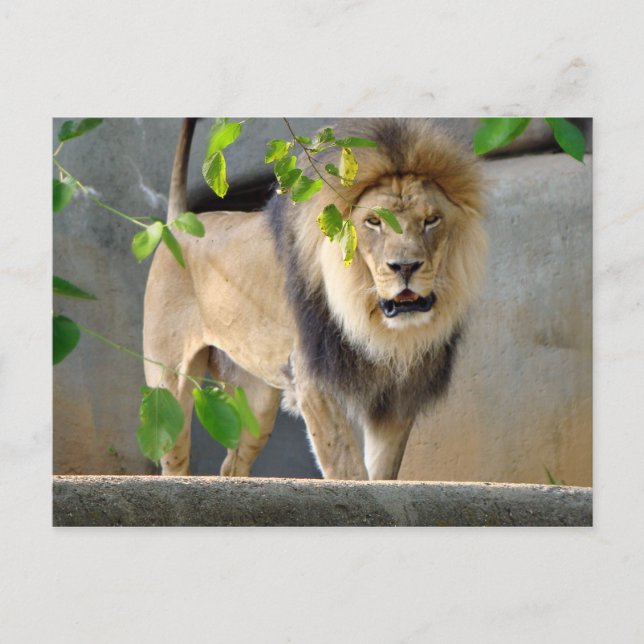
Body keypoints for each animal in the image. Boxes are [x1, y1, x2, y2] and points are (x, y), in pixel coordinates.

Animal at [143, 118, 486, 480]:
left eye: (431, 220)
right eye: (373, 221)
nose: (405, 267)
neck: (375, 325)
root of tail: (176, 224)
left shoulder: (395, 397)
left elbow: (382, 473)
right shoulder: (315, 381)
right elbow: (347, 467)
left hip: (256, 401)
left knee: (232, 465)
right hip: (169, 381)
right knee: (174, 456)